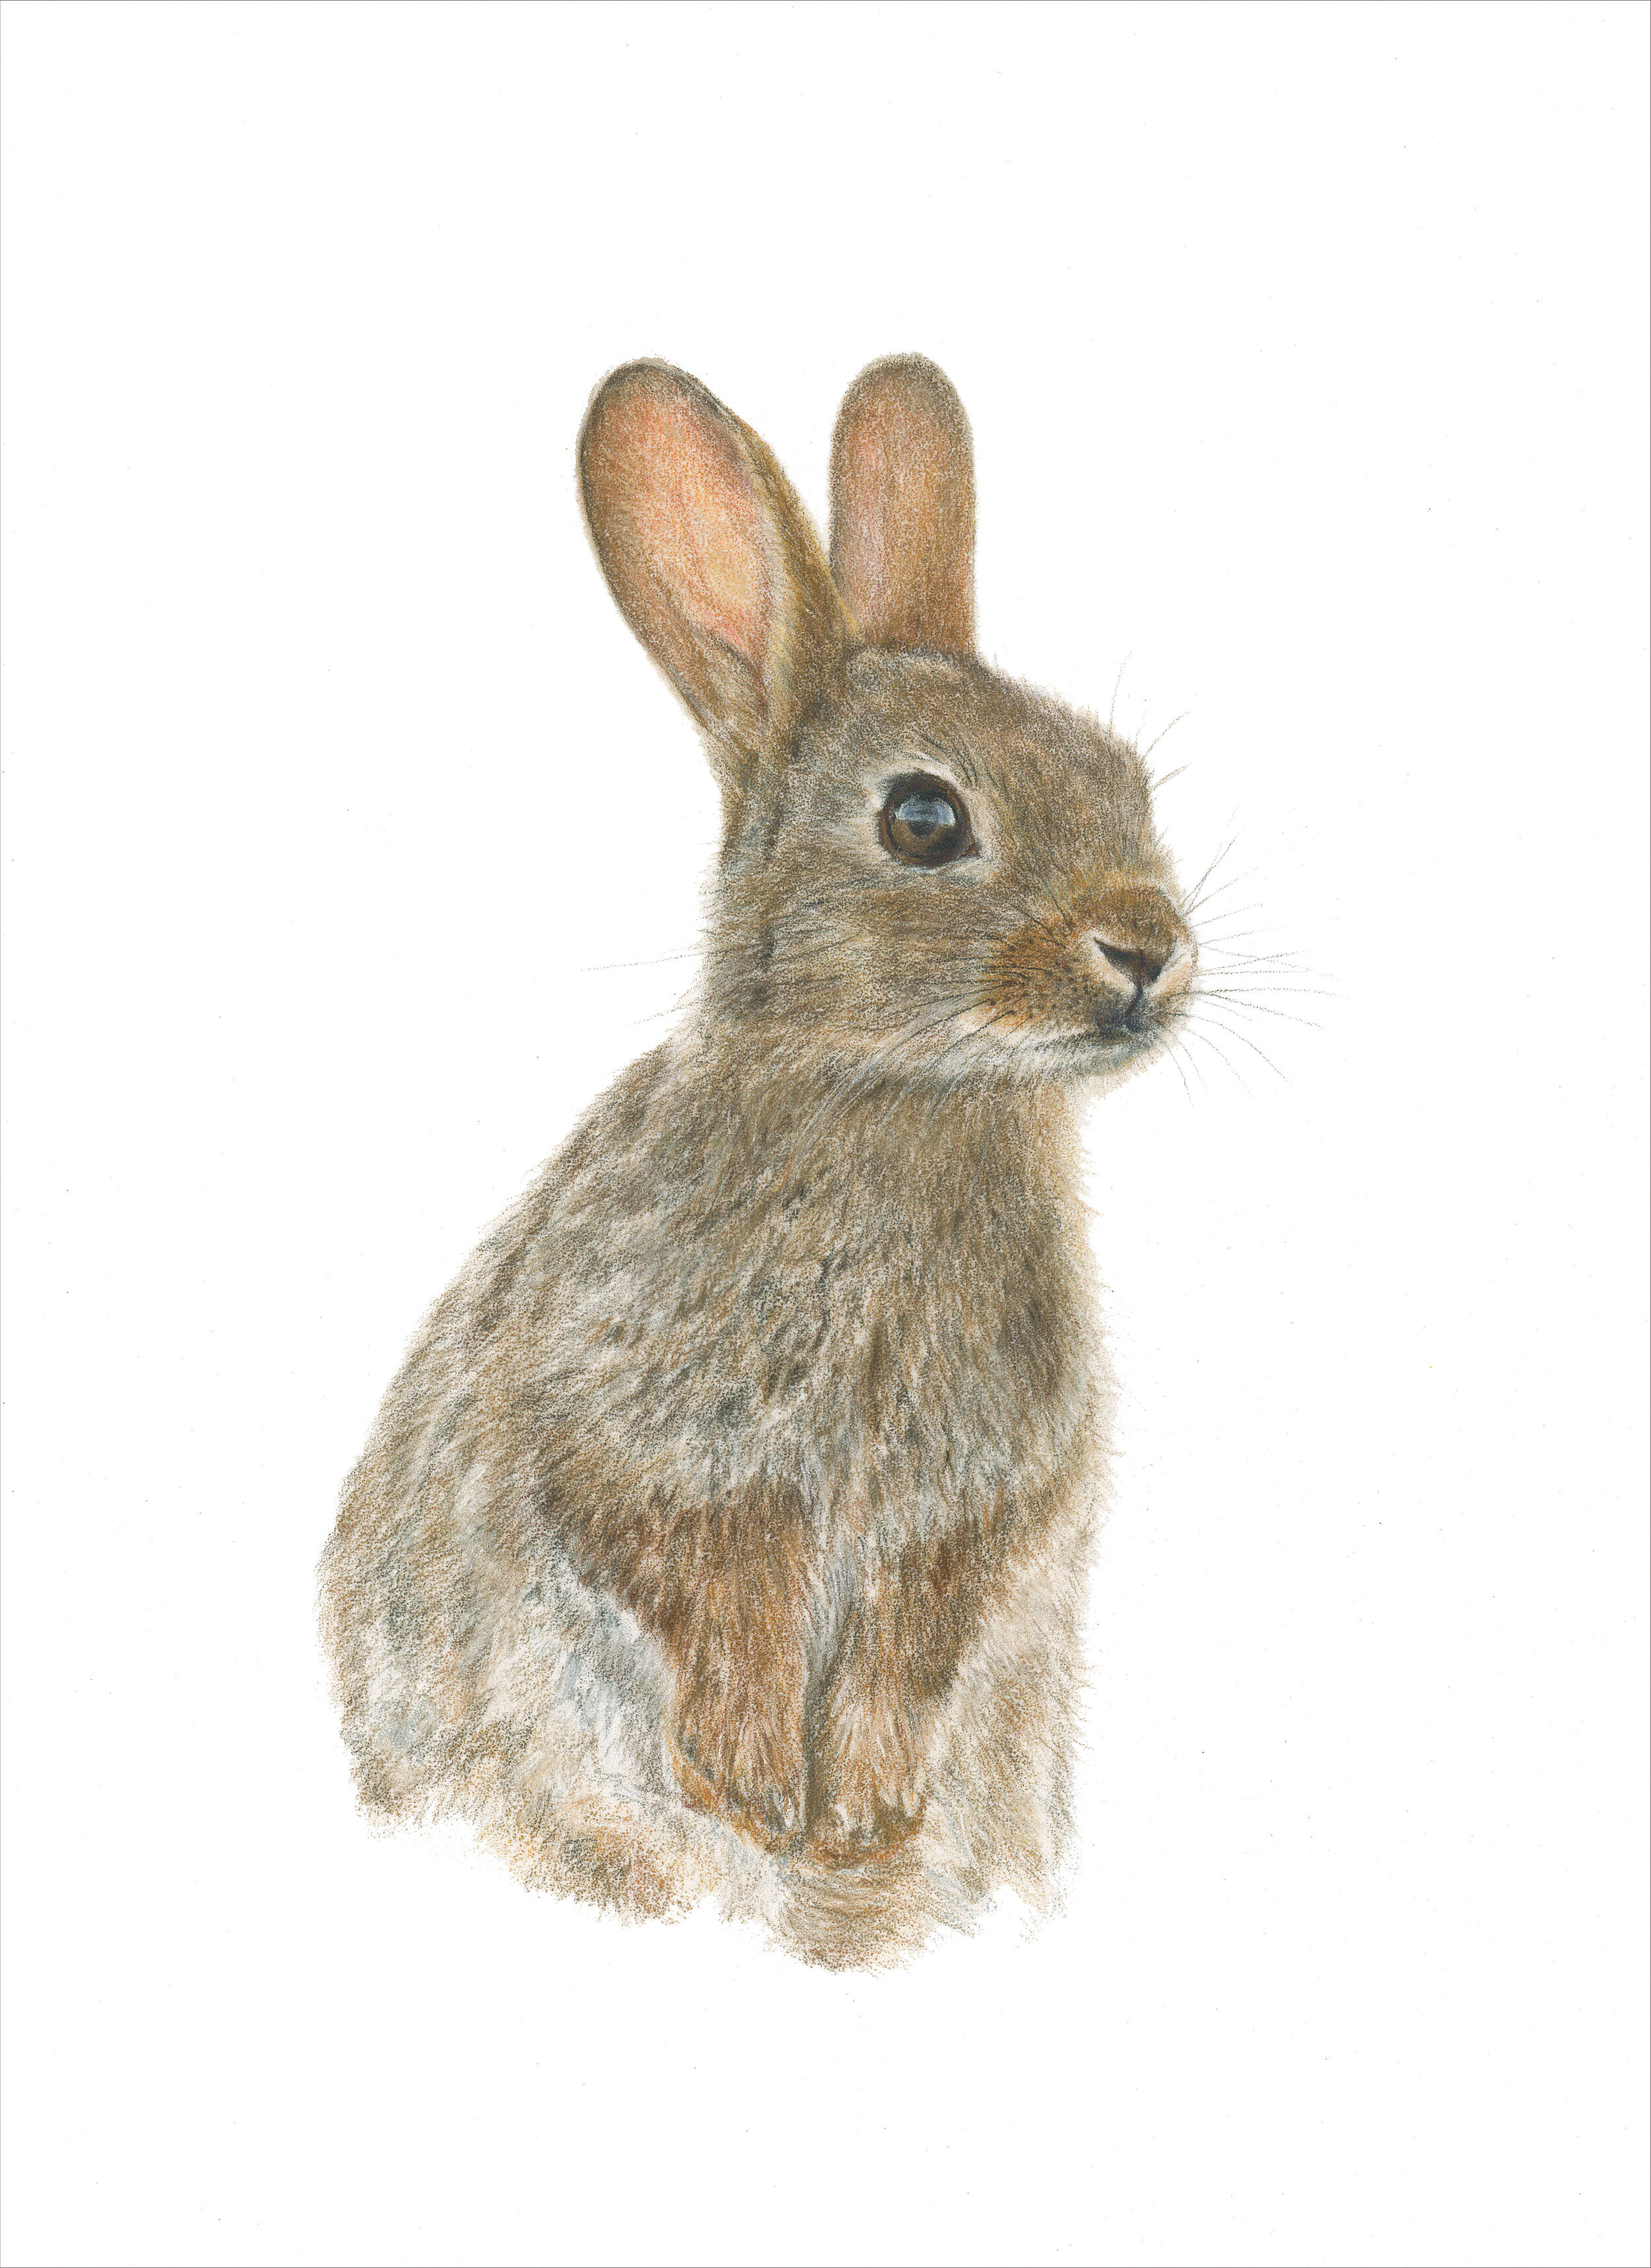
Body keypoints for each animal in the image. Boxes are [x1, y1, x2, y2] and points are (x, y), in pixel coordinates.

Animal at [318, 354, 1199, 1968]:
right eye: (925, 817)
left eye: (1126, 778)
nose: (1148, 950)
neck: (901, 1099)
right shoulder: (638, 1439)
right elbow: (711, 1578)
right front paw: (747, 1783)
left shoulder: (979, 1502)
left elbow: (917, 1625)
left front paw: (861, 1809)